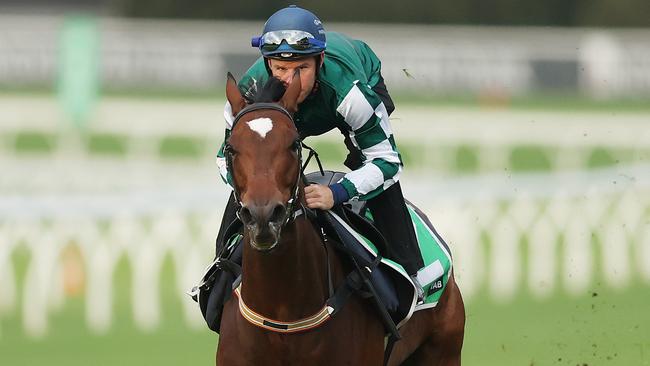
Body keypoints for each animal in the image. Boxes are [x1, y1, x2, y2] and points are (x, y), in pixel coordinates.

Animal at [215, 72, 464, 366]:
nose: (263, 216)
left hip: (444, 350)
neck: (283, 314)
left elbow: (383, 158)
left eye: (294, 144)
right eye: (231, 149)